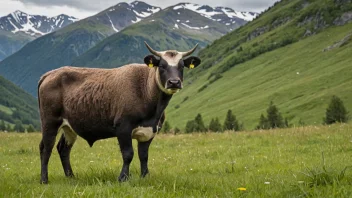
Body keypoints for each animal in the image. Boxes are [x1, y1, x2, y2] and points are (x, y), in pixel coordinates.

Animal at [37, 42, 201, 184]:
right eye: (161, 65)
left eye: (182, 66)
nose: (174, 82)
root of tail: (49, 74)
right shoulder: (123, 127)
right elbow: (128, 154)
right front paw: (123, 178)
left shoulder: (150, 131)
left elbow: (144, 155)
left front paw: (144, 176)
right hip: (50, 121)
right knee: (46, 148)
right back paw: (44, 180)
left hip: (69, 126)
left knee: (63, 149)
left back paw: (71, 177)